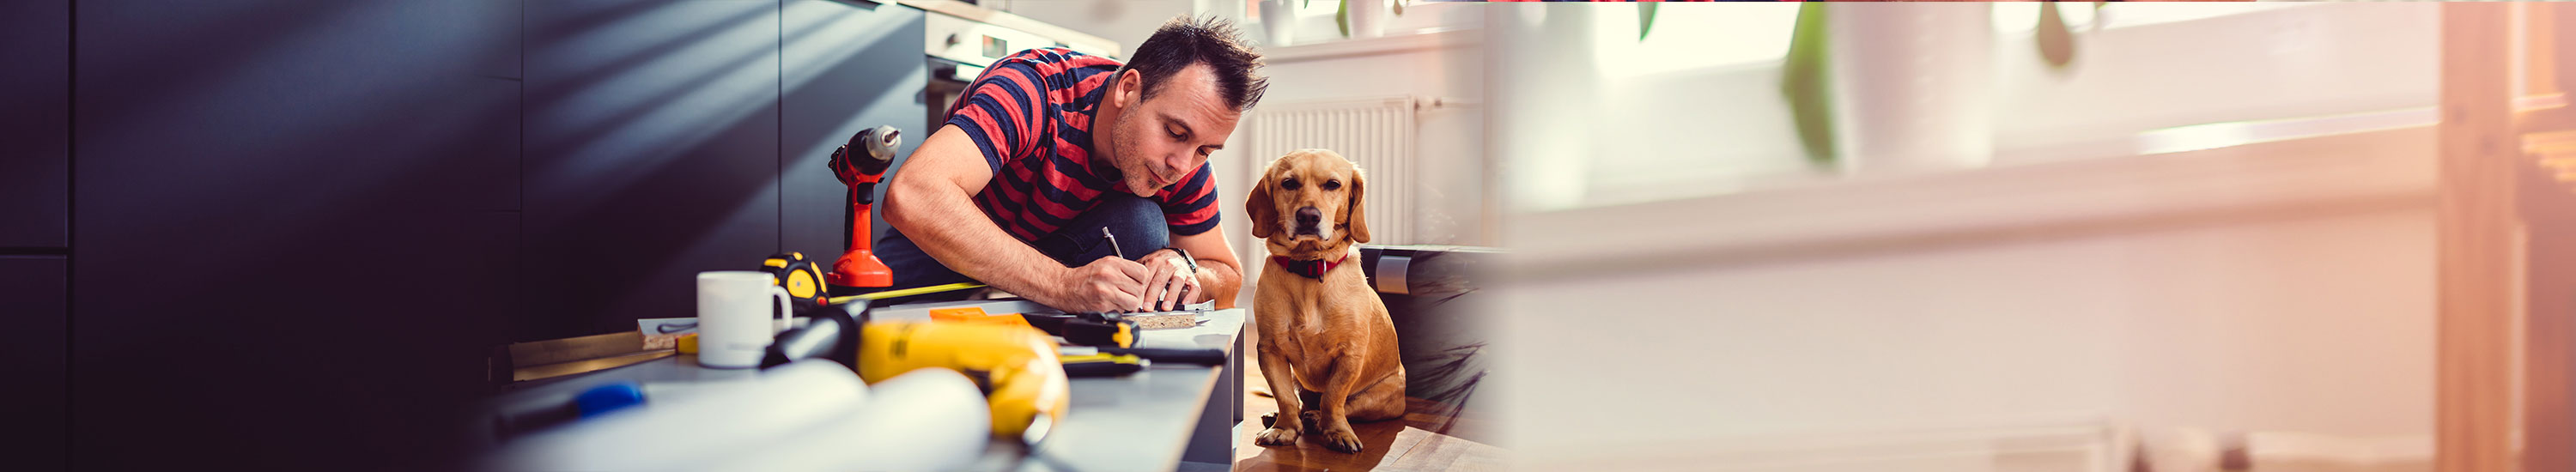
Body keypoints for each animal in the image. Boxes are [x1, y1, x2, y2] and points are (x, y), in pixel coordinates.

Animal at [1247, 149, 1412, 451]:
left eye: (1333, 185)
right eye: (1289, 183)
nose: (1308, 216)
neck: (1309, 269)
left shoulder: (1349, 355)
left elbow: (1333, 399)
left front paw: (1337, 432)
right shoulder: (1270, 350)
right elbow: (1285, 397)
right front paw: (1284, 428)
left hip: (1381, 398)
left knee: (1343, 407)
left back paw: (1315, 419)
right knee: (1301, 401)